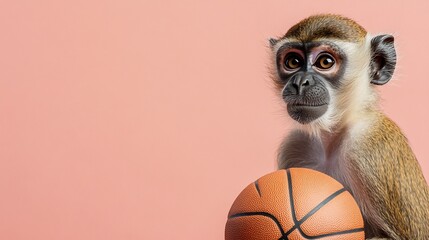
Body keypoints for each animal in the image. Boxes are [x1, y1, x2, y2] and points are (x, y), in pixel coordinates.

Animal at [270, 14, 428, 239]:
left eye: (325, 62)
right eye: (293, 61)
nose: (300, 82)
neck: (333, 136)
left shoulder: (368, 147)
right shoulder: (293, 145)